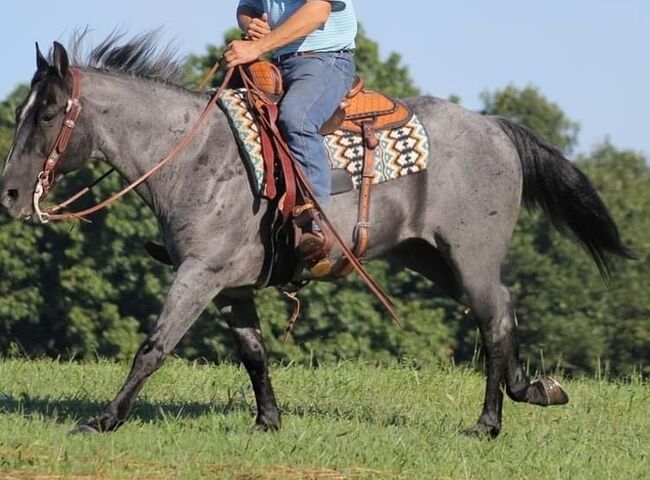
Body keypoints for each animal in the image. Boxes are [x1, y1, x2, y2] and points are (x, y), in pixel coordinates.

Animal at [0, 35, 632, 436]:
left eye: (49, 112)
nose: (8, 193)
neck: (194, 155)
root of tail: (494, 126)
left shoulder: (199, 274)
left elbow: (153, 347)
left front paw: (105, 420)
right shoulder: (231, 286)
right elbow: (253, 353)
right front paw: (267, 421)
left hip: (470, 257)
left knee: (495, 318)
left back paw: (488, 423)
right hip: (431, 259)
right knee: (500, 311)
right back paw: (536, 389)